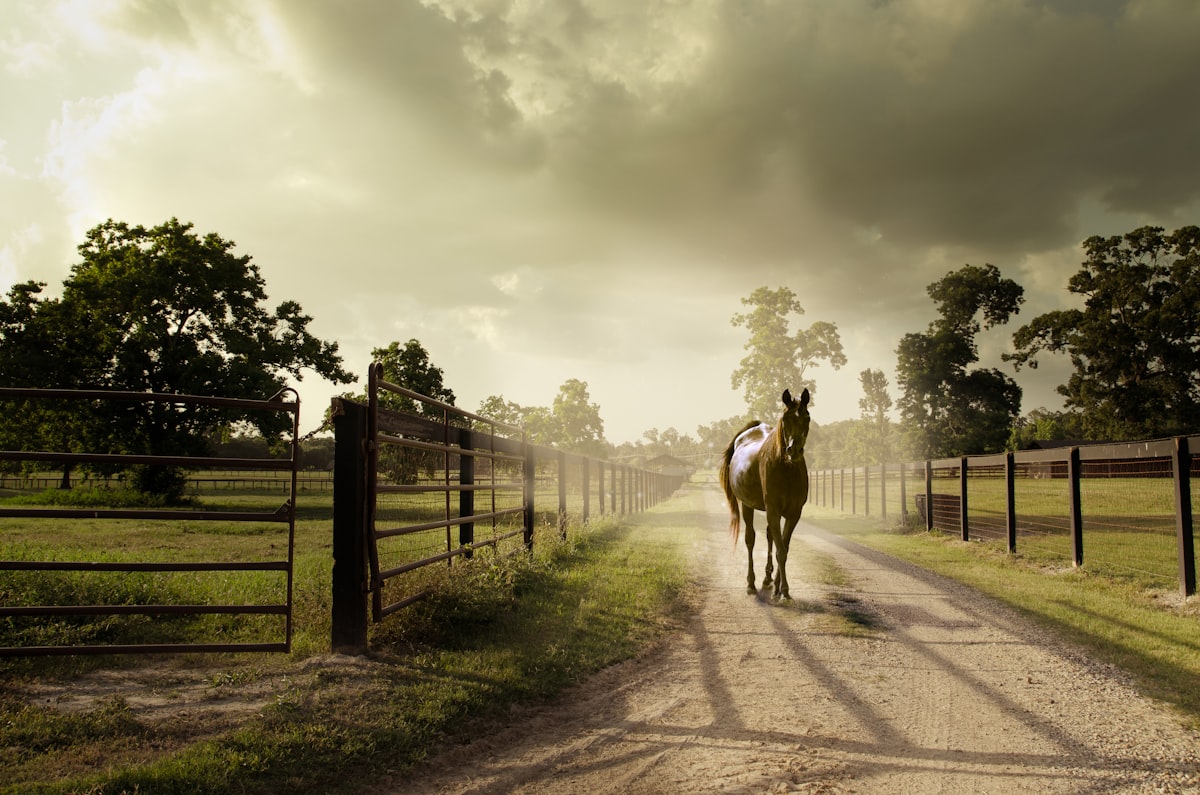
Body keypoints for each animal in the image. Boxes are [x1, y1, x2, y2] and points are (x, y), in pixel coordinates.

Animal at [719, 388, 811, 599]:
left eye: (807, 418)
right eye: (785, 418)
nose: (794, 451)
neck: (787, 470)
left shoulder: (794, 514)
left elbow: (783, 547)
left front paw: (778, 587)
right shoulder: (773, 511)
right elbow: (781, 551)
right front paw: (784, 591)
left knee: (769, 537)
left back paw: (767, 580)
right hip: (747, 506)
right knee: (750, 540)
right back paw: (751, 584)